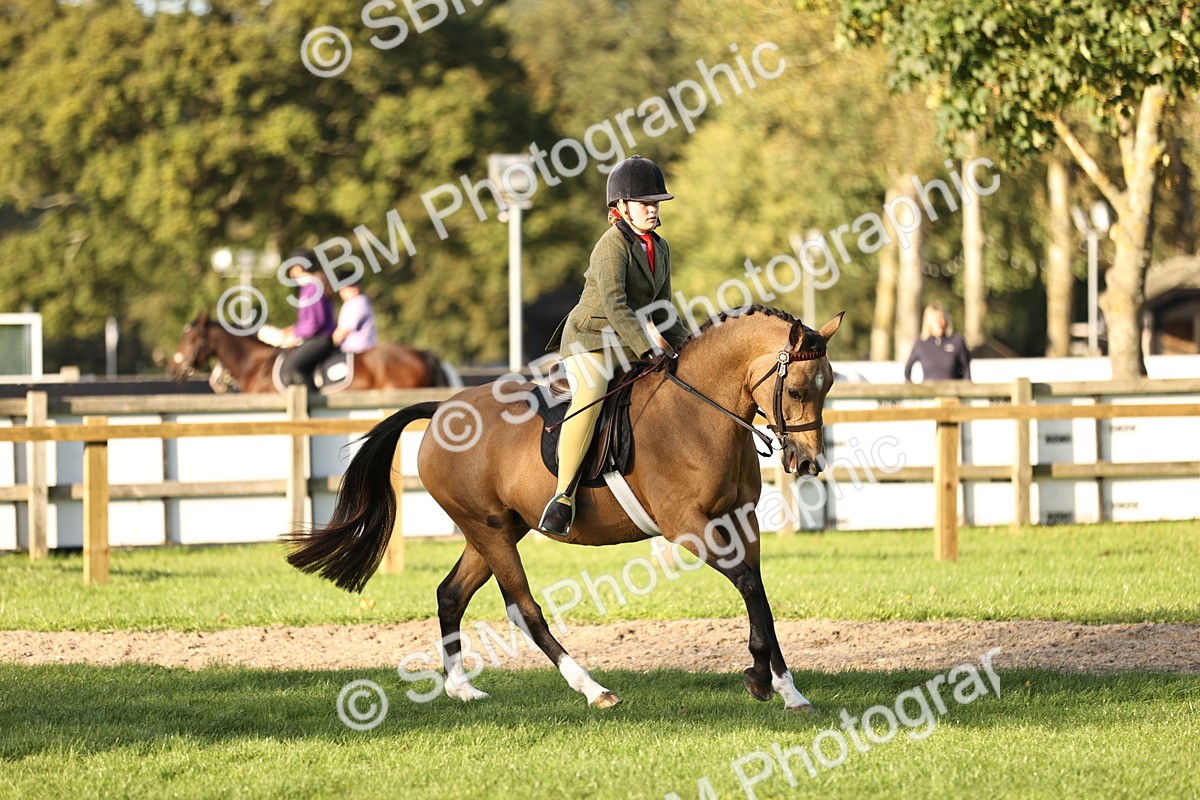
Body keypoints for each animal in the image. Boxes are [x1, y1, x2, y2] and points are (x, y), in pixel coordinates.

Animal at [286, 306, 843, 711]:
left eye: (830, 385)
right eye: (797, 389)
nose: (807, 462)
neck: (699, 412)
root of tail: (443, 408)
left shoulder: (740, 520)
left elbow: (758, 593)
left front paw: (784, 687)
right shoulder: (689, 527)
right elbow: (748, 583)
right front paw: (761, 678)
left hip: (494, 530)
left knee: (451, 595)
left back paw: (461, 689)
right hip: (489, 530)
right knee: (524, 608)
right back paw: (593, 689)